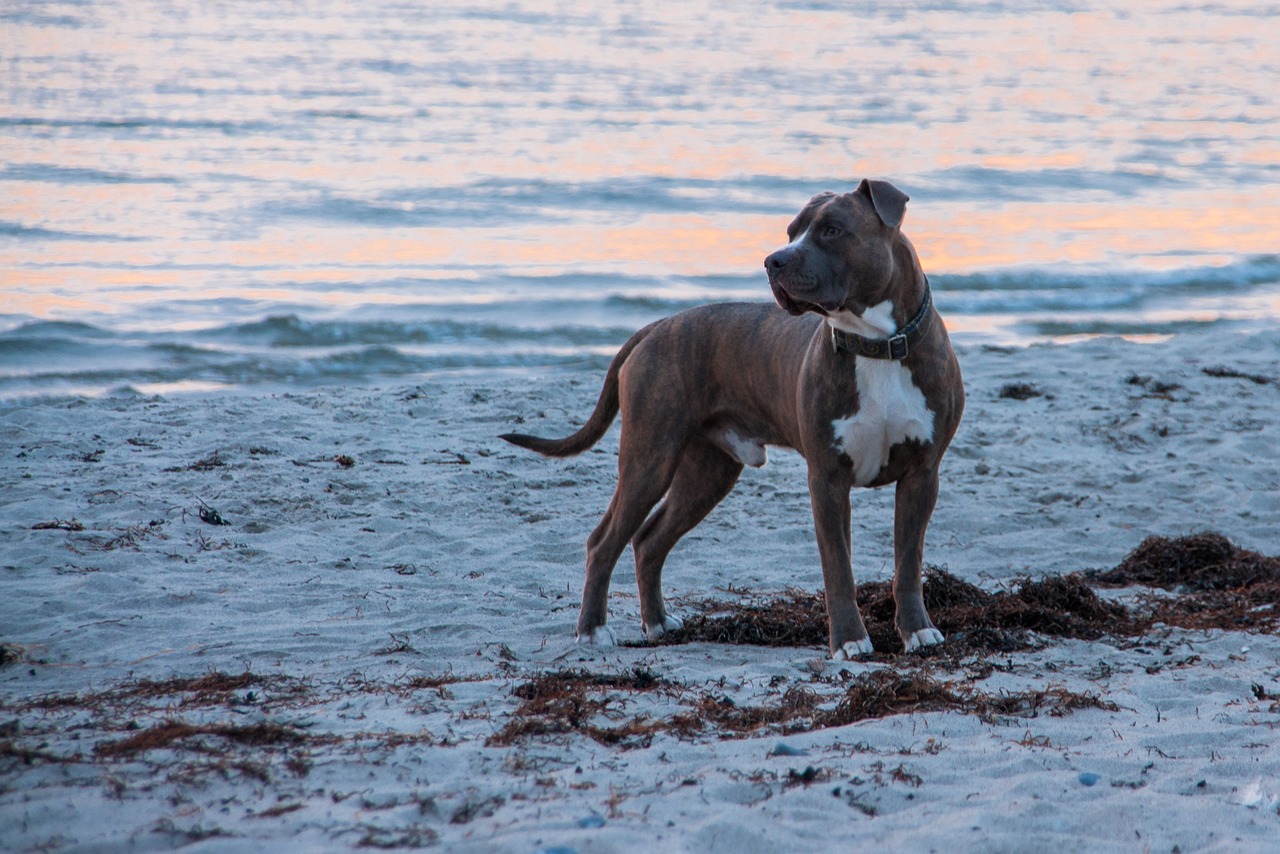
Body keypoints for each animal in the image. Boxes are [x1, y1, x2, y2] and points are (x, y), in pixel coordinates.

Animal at [499, 180, 962, 660]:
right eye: (792, 231)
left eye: (832, 230)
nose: (773, 260)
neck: (876, 345)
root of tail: (657, 325)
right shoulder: (827, 480)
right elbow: (839, 569)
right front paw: (850, 641)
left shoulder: (922, 475)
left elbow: (908, 563)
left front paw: (918, 631)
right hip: (650, 459)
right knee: (604, 541)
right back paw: (592, 630)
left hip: (707, 472)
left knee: (648, 540)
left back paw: (658, 622)